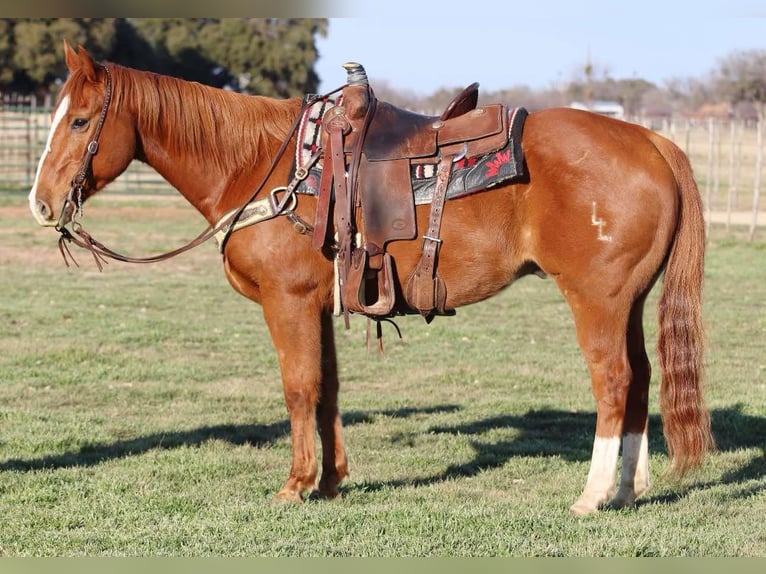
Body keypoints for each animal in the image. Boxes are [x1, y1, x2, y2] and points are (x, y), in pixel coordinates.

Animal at [28, 41, 715, 515]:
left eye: (81, 122)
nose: (39, 203)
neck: (263, 163)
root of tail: (652, 140)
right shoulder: (319, 305)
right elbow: (328, 389)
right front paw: (331, 481)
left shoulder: (287, 302)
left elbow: (298, 388)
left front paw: (296, 484)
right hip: (628, 301)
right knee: (642, 378)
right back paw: (626, 491)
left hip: (596, 299)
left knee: (614, 381)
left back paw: (594, 494)